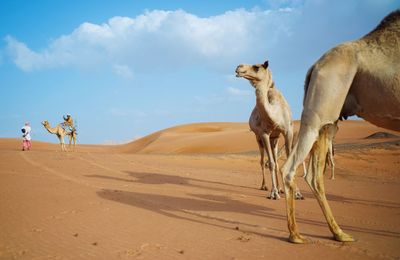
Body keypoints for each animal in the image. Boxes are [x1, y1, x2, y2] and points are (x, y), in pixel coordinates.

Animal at [238, 61, 304, 199]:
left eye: (256, 67)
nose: (239, 67)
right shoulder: (264, 134)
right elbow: (271, 163)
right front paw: (273, 193)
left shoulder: (288, 131)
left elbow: (288, 161)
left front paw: (297, 193)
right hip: (258, 138)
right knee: (263, 161)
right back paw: (265, 186)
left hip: (275, 138)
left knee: (276, 159)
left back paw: (281, 188)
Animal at [282, 9, 400, 244]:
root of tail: (314, 67)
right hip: (321, 109)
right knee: (290, 169)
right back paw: (296, 235)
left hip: (328, 122)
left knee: (314, 176)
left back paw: (338, 232)